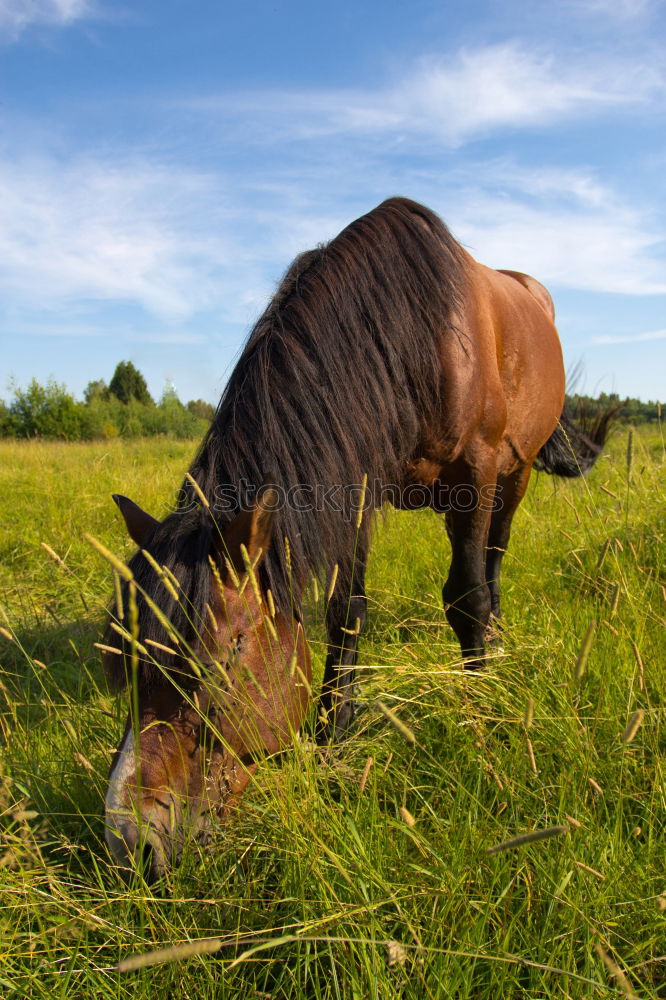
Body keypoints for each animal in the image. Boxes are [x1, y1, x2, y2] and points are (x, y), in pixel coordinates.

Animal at [100, 193, 608, 876]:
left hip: (515, 474)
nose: (130, 840)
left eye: (225, 655)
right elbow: (347, 615)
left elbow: (468, 598)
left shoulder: (476, 470)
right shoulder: (356, 482)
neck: (421, 339)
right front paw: (333, 737)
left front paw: (479, 712)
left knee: (494, 565)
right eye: (124, 657)